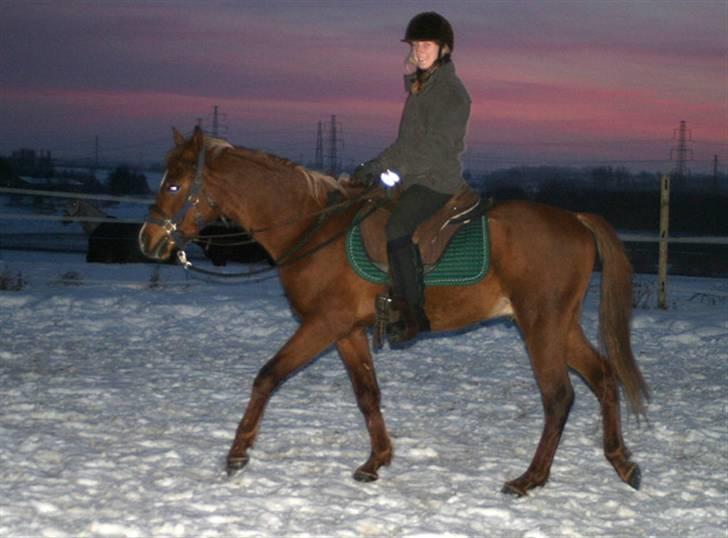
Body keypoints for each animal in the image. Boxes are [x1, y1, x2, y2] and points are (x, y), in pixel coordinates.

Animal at [138, 127, 648, 496]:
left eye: (175, 183)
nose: (147, 239)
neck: (312, 227)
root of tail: (576, 219)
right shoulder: (345, 331)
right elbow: (368, 394)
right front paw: (376, 461)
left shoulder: (322, 324)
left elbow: (267, 376)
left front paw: (238, 453)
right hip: (560, 326)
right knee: (603, 378)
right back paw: (621, 462)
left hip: (540, 324)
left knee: (559, 397)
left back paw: (530, 479)